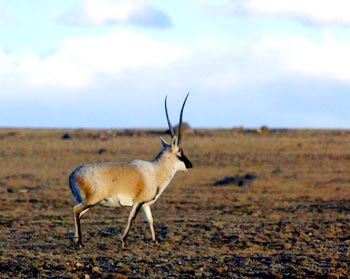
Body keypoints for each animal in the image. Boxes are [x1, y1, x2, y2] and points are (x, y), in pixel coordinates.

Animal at [68, 94, 193, 249]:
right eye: (180, 153)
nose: (190, 165)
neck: (156, 170)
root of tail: (72, 175)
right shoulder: (138, 202)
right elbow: (132, 219)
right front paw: (123, 241)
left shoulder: (145, 204)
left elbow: (150, 219)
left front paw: (156, 240)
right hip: (91, 200)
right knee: (76, 210)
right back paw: (79, 242)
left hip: (89, 202)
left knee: (79, 213)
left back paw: (77, 241)